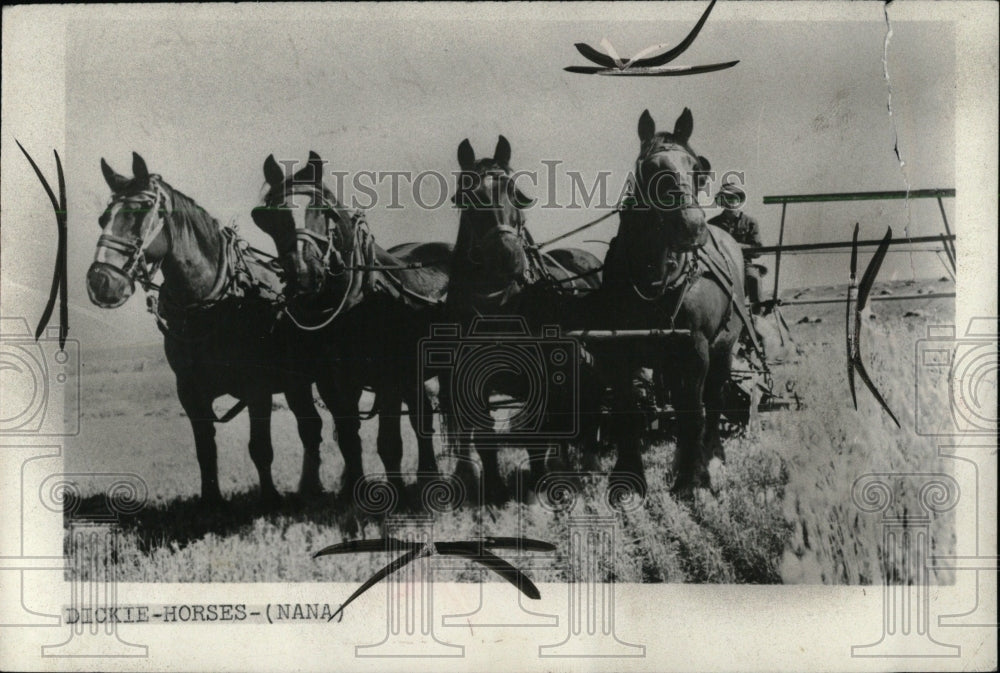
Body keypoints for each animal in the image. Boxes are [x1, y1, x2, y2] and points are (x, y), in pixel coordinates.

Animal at [85, 152, 324, 506]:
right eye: (103, 218)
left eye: (141, 213)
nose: (101, 282)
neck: (213, 304)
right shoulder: (190, 391)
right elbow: (205, 449)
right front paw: (211, 501)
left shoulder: (257, 387)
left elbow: (260, 448)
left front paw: (269, 499)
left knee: (313, 428)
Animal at [252, 152, 452, 504]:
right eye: (270, 218)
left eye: (324, 210)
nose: (304, 274)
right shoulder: (331, 382)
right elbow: (347, 435)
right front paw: (352, 488)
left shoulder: (388, 378)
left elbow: (389, 441)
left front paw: (395, 492)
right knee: (422, 415)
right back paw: (427, 475)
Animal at [444, 134, 600, 502]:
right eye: (466, 197)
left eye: (516, 193)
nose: (508, 257)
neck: (498, 306)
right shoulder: (472, 381)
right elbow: (486, 435)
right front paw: (494, 490)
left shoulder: (540, 376)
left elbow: (536, 434)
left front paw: (542, 485)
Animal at [596, 110, 748, 496]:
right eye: (651, 169)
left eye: (696, 169)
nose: (692, 228)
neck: (654, 277)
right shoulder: (619, 351)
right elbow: (627, 411)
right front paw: (628, 478)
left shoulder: (695, 350)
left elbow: (692, 414)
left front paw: (690, 482)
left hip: (723, 348)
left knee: (711, 401)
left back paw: (711, 459)